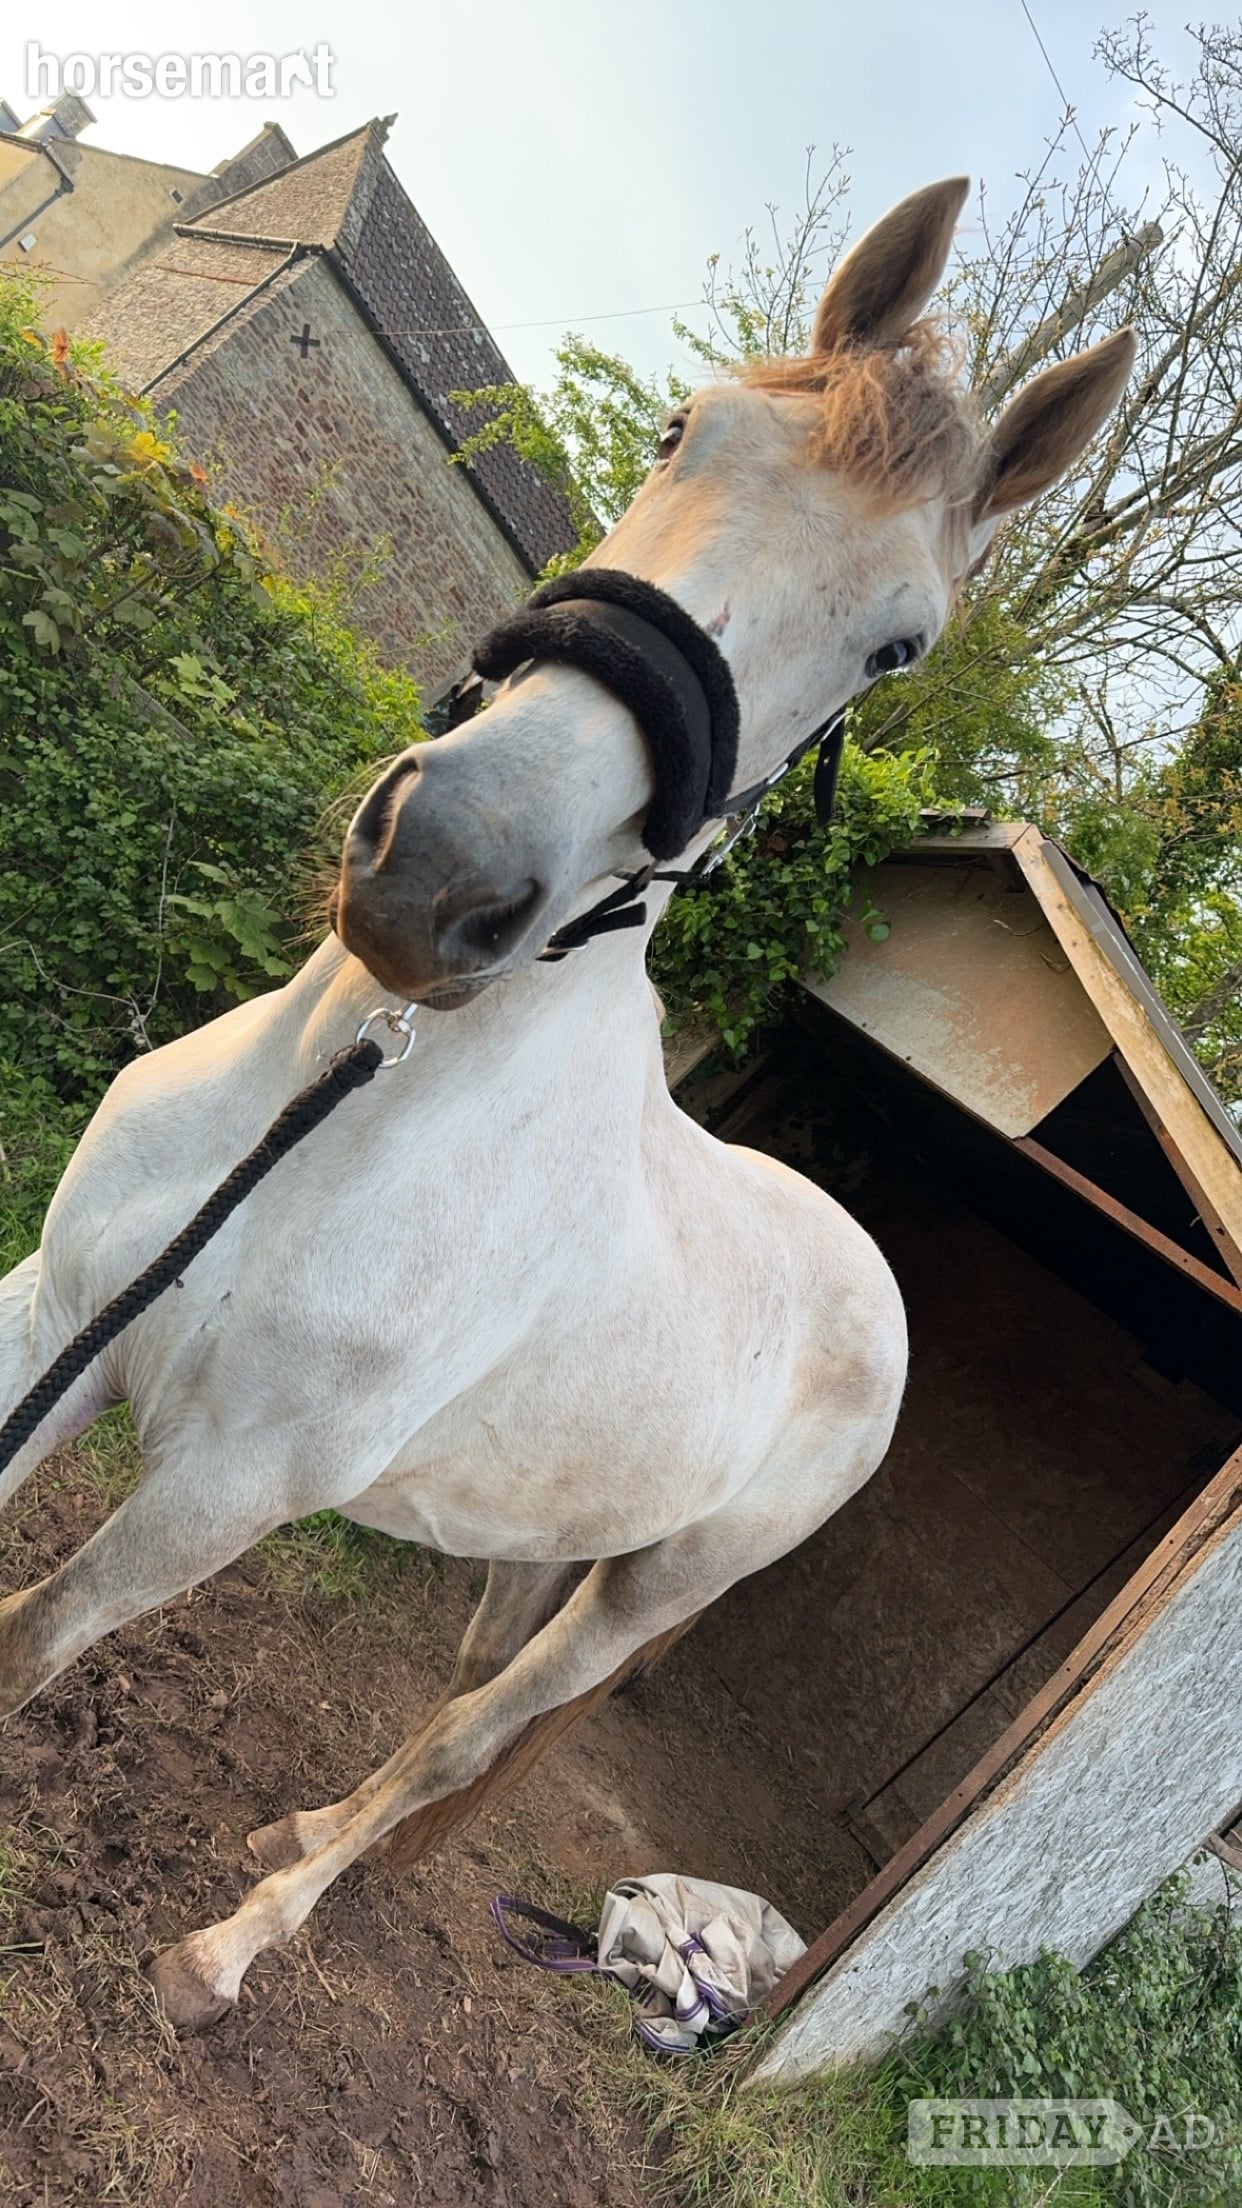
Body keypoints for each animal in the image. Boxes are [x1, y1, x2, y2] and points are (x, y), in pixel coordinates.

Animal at [0, 178, 1134, 2030]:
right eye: (685, 430)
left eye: (896, 645)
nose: (443, 871)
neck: (333, 1107)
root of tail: (872, 1291)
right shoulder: (56, 1318)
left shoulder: (223, 1488)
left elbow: (28, 1636)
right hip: (550, 1533)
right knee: (453, 1697)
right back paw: (293, 1836)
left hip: (648, 1586)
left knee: (480, 1725)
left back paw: (235, 1941)